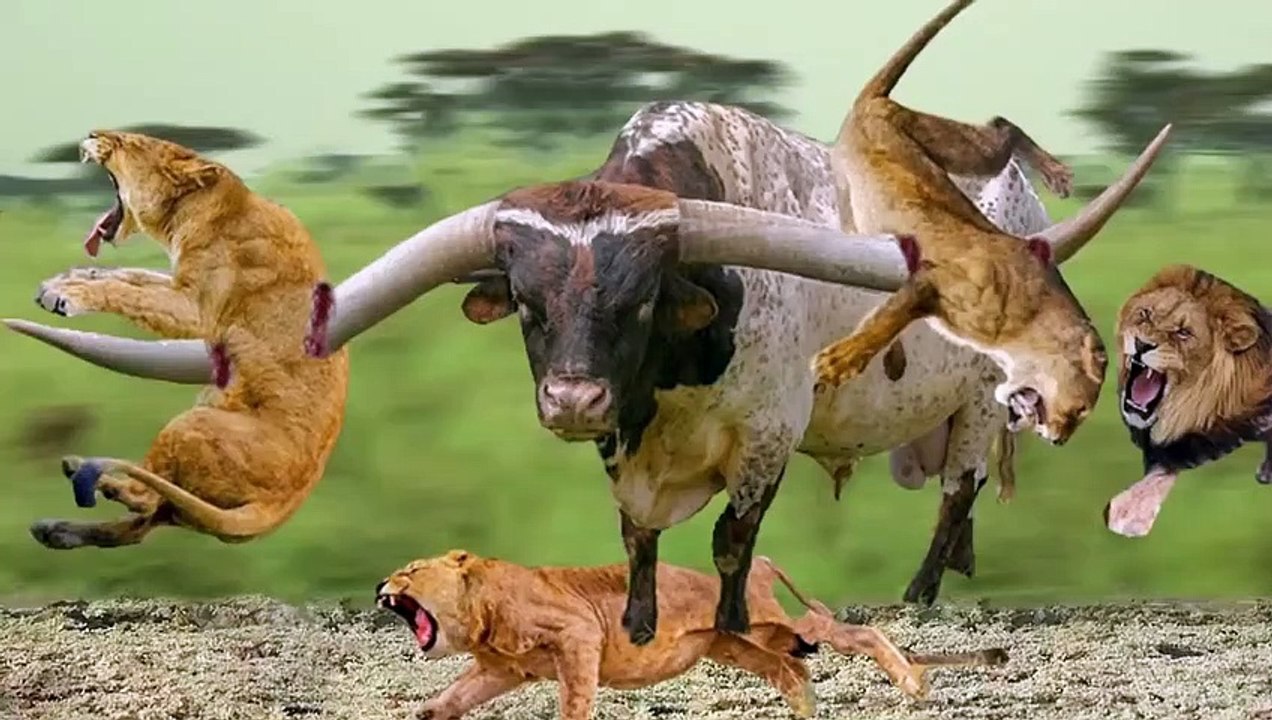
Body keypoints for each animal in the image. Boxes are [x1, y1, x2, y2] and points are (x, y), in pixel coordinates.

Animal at [4, 130, 349, 549]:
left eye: (129, 143)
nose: (91, 134)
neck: (196, 209)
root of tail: (284, 504)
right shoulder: (176, 283)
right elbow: (131, 277)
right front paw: (73, 277)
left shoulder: (194, 308)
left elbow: (127, 291)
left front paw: (66, 294)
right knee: (141, 522)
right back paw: (57, 527)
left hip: (191, 423)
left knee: (146, 500)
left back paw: (91, 477)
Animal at [376, 550, 1008, 720]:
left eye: (411, 569)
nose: (382, 583)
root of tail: (762, 563)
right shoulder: (499, 668)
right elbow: (449, 700)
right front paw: (426, 712)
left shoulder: (577, 632)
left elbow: (576, 696)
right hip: (738, 645)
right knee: (791, 667)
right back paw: (806, 709)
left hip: (771, 621)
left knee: (852, 630)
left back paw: (913, 682)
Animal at [808, 0, 1170, 447]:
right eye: (1081, 410)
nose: (1059, 438)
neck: (1024, 329)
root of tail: (875, 101)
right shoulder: (936, 280)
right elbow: (887, 319)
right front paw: (837, 362)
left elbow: (886, 314)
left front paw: (878, 361)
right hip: (968, 153)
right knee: (1001, 127)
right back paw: (1057, 175)